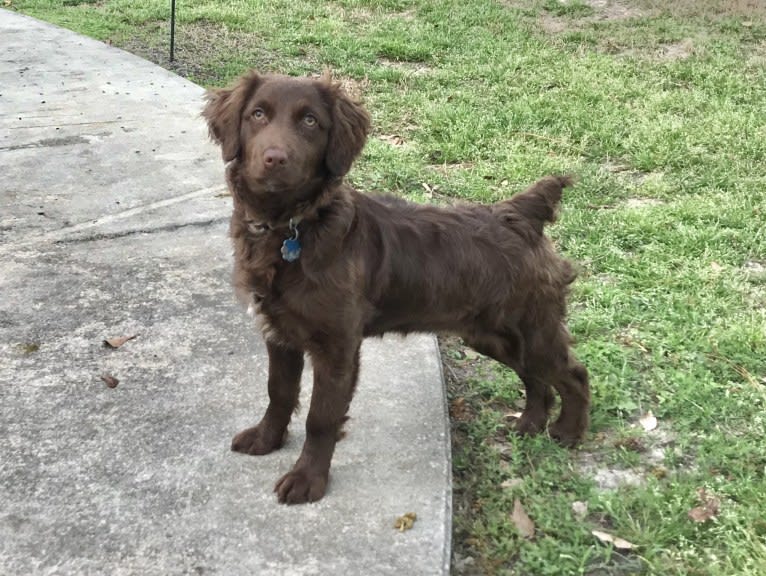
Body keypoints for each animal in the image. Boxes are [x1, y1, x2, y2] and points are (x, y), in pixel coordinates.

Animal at [201, 72, 592, 504]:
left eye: (310, 122)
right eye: (257, 114)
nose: (275, 158)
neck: (292, 228)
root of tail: (519, 215)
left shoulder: (337, 347)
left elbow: (321, 418)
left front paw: (307, 479)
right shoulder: (279, 334)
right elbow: (278, 392)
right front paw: (266, 439)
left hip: (532, 327)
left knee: (574, 375)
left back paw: (568, 432)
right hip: (494, 335)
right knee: (536, 378)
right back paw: (529, 423)